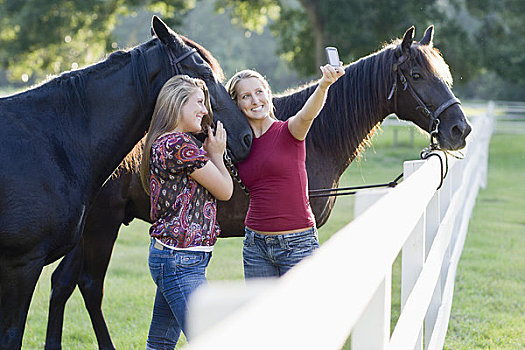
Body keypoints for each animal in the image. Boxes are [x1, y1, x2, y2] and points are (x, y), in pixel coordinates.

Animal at [45, 24, 470, 348]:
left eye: (442, 75)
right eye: (417, 76)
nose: (459, 129)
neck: (316, 137)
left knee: (62, 283)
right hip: (102, 226)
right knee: (88, 285)